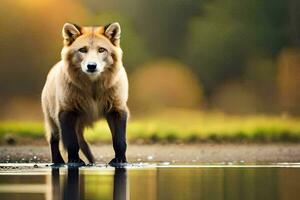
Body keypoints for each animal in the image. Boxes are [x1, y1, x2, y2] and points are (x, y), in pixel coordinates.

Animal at [40, 21, 127, 166]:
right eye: (82, 50)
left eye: (101, 50)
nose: (91, 66)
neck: (93, 91)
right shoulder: (66, 112)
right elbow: (71, 143)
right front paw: (74, 161)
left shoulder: (117, 109)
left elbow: (119, 141)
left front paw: (120, 160)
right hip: (53, 122)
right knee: (54, 140)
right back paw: (58, 162)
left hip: (78, 123)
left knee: (83, 143)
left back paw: (92, 161)